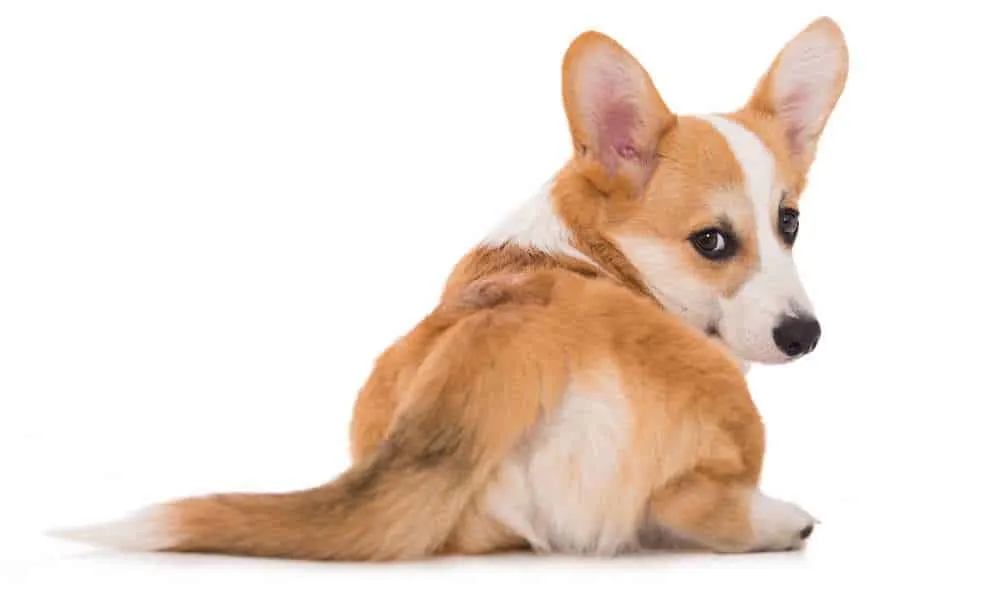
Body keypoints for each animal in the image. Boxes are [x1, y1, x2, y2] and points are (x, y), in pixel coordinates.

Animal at [51, 17, 849, 561]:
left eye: (790, 223)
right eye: (711, 242)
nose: (805, 337)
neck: (597, 247)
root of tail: (498, 343)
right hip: (731, 413)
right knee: (685, 505)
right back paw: (782, 521)